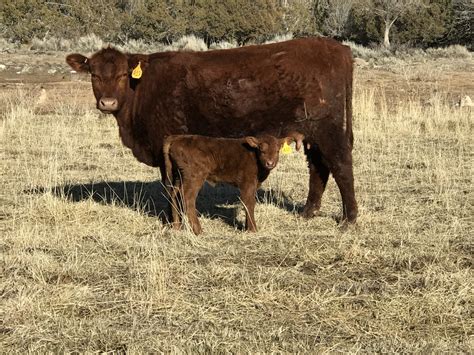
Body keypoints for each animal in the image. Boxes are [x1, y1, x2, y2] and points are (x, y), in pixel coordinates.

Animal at [65, 37, 358, 224]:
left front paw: (173, 220)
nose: (107, 103)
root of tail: (336, 48)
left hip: (329, 129)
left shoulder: (165, 145)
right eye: (93, 75)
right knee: (319, 168)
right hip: (312, 134)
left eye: (123, 75)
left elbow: (171, 186)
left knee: (341, 165)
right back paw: (308, 213)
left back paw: (349, 219)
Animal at [163, 134, 304, 236]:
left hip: (178, 176)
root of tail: (176, 138)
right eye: (261, 150)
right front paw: (253, 229)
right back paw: (198, 231)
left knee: (174, 195)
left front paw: (247, 227)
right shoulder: (247, 183)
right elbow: (249, 203)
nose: (270, 163)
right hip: (194, 176)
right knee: (187, 197)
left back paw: (176, 227)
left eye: (277, 150)